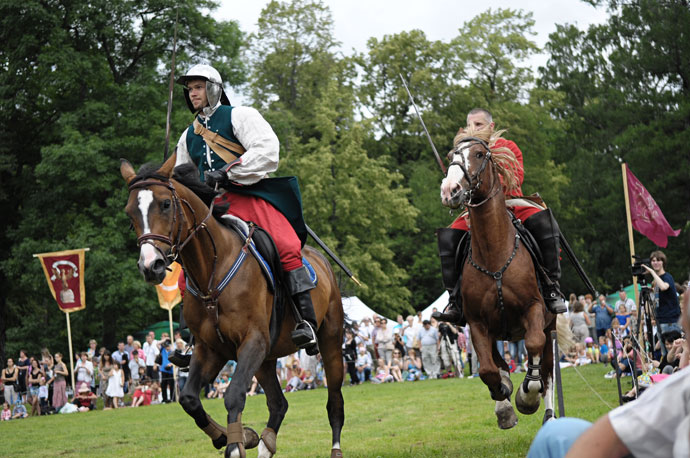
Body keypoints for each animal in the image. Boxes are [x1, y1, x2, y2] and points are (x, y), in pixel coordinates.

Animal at [120, 155, 344, 458]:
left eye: (165, 204)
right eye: (130, 212)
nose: (150, 265)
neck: (212, 273)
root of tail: (321, 260)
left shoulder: (252, 341)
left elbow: (234, 394)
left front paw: (236, 444)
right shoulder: (211, 350)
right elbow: (189, 399)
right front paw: (234, 437)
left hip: (330, 341)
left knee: (334, 401)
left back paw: (334, 448)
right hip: (266, 359)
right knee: (278, 404)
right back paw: (265, 445)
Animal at [438, 129, 568, 430]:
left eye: (478, 154)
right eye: (451, 157)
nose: (450, 190)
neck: (494, 255)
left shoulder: (534, 310)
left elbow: (533, 349)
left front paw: (527, 396)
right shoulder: (476, 323)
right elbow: (487, 369)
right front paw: (504, 398)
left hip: (549, 325)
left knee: (547, 369)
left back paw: (548, 412)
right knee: (498, 362)